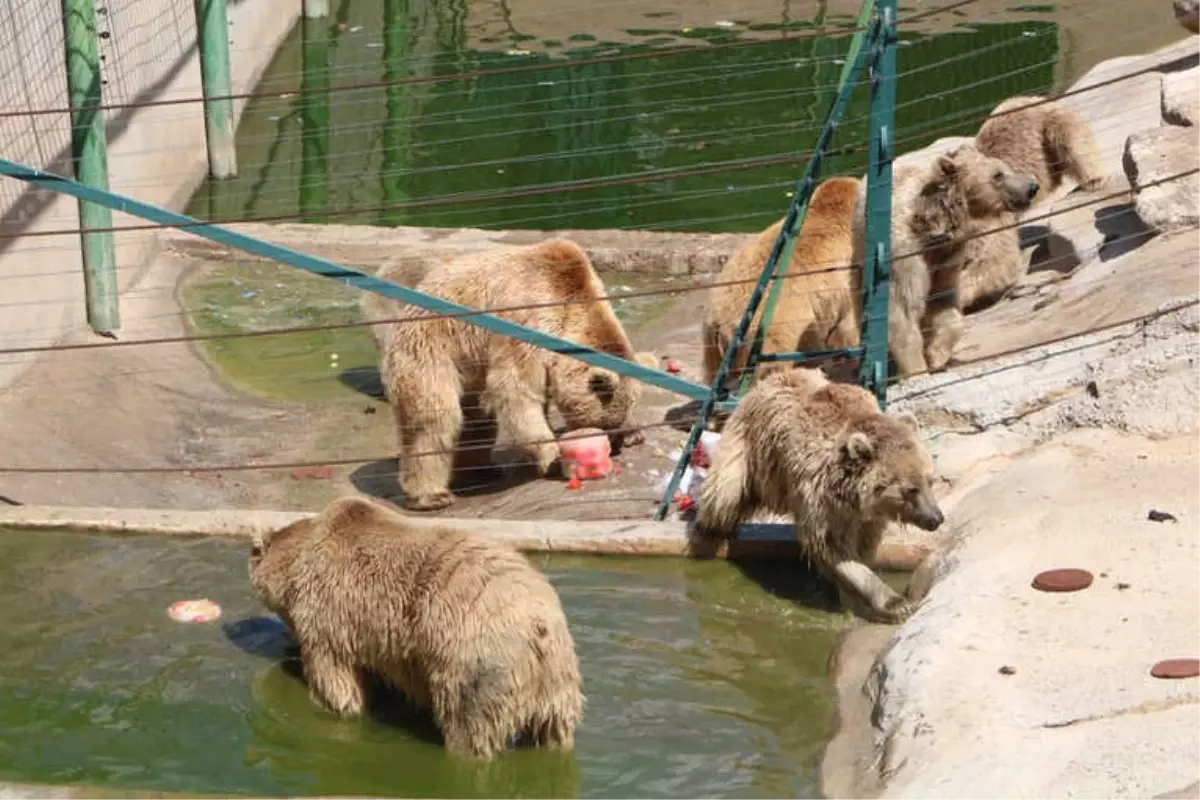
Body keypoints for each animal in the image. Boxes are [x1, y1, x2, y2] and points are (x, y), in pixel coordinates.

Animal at [250, 494, 588, 758]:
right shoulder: (383, 644)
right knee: (555, 731)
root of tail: (539, 624)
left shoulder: (332, 615)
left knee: (468, 724)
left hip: (476, 658)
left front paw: (327, 699)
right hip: (557, 677)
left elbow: (336, 678)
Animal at [360, 239, 657, 513]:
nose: (615, 444)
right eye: (605, 423)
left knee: (478, 420)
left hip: (469, 368)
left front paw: (635, 432)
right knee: (435, 419)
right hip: (430, 349)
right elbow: (515, 392)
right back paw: (431, 496)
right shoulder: (523, 320)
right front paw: (553, 457)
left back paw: (480, 470)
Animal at [696, 369, 945, 623]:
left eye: (930, 480)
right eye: (910, 489)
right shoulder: (821, 500)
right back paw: (711, 529)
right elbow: (832, 548)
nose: (935, 518)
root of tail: (776, 374)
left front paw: (851, 598)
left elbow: (862, 549)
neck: (853, 495)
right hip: (749, 444)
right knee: (725, 491)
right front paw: (895, 603)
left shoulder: (864, 516)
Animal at [849, 144, 1036, 379]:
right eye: (998, 174)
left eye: (1006, 167)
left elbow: (943, 300)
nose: (1032, 187)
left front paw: (935, 355)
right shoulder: (903, 256)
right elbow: (902, 309)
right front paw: (917, 370)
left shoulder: (948, 257)